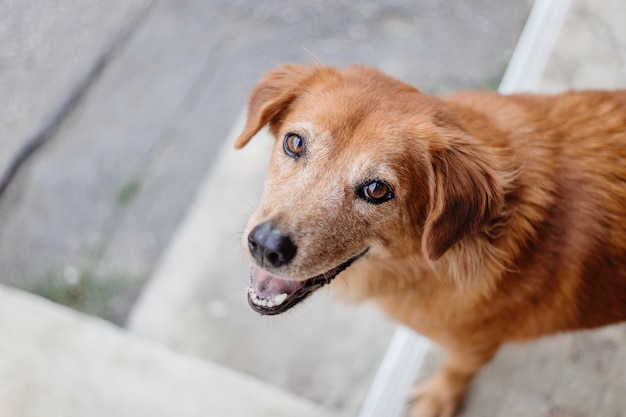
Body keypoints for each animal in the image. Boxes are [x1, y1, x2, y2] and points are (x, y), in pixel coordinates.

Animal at [234, 65, 624, 416]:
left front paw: (439, 398)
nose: (265, 246)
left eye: (377, 190)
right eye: (294, 142)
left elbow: (455, 369)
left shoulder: (475, 348)